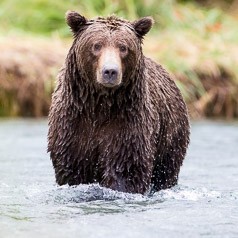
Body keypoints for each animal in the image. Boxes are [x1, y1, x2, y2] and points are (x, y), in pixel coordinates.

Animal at [48, 11, 190, 194]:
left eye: (123, 47)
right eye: (96, 45)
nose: (110, 71)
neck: (100, 104)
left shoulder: (127, 125)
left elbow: (125, 169)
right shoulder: (72, 126)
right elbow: (72, 168)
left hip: (171, 137)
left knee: (166, 170)